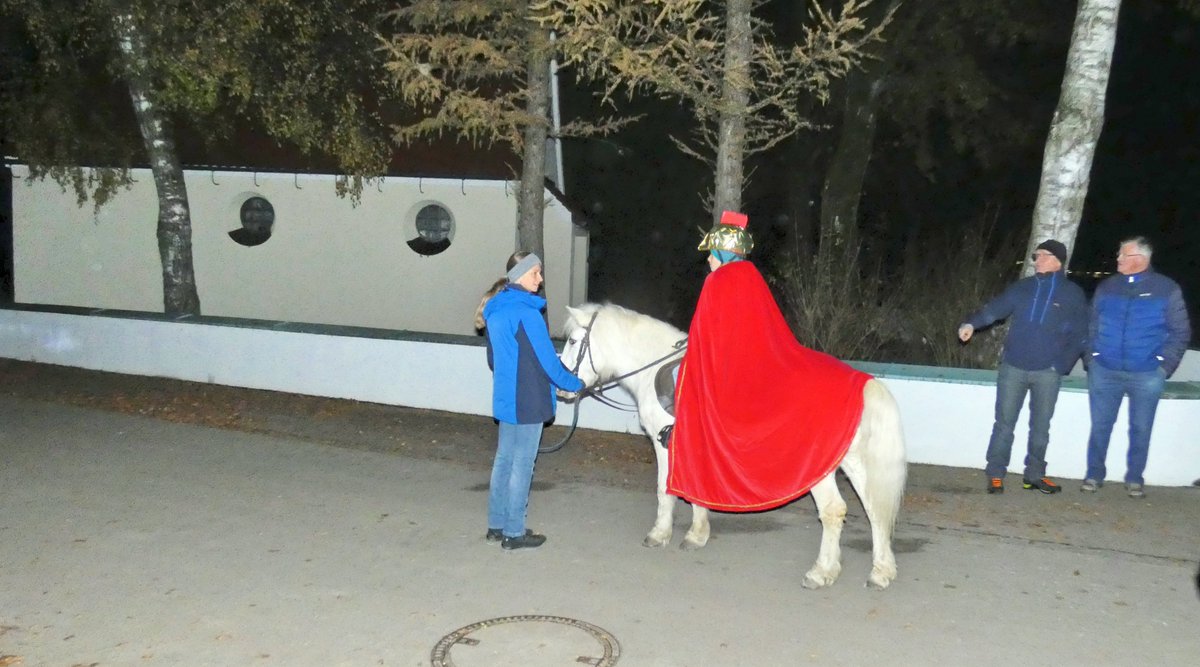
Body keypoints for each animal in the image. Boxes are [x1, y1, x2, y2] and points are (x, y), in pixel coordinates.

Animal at [561, 302, 907, 587]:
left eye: (573, 341)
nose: (562, 389)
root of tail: (863, 384)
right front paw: (696, 535)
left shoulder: (665, 444)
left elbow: (665, 489)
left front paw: (660, 534)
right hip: (853, 461)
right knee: (875, 510)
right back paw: (880, 571)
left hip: (819, 468)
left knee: (834, 511)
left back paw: (821, 572)